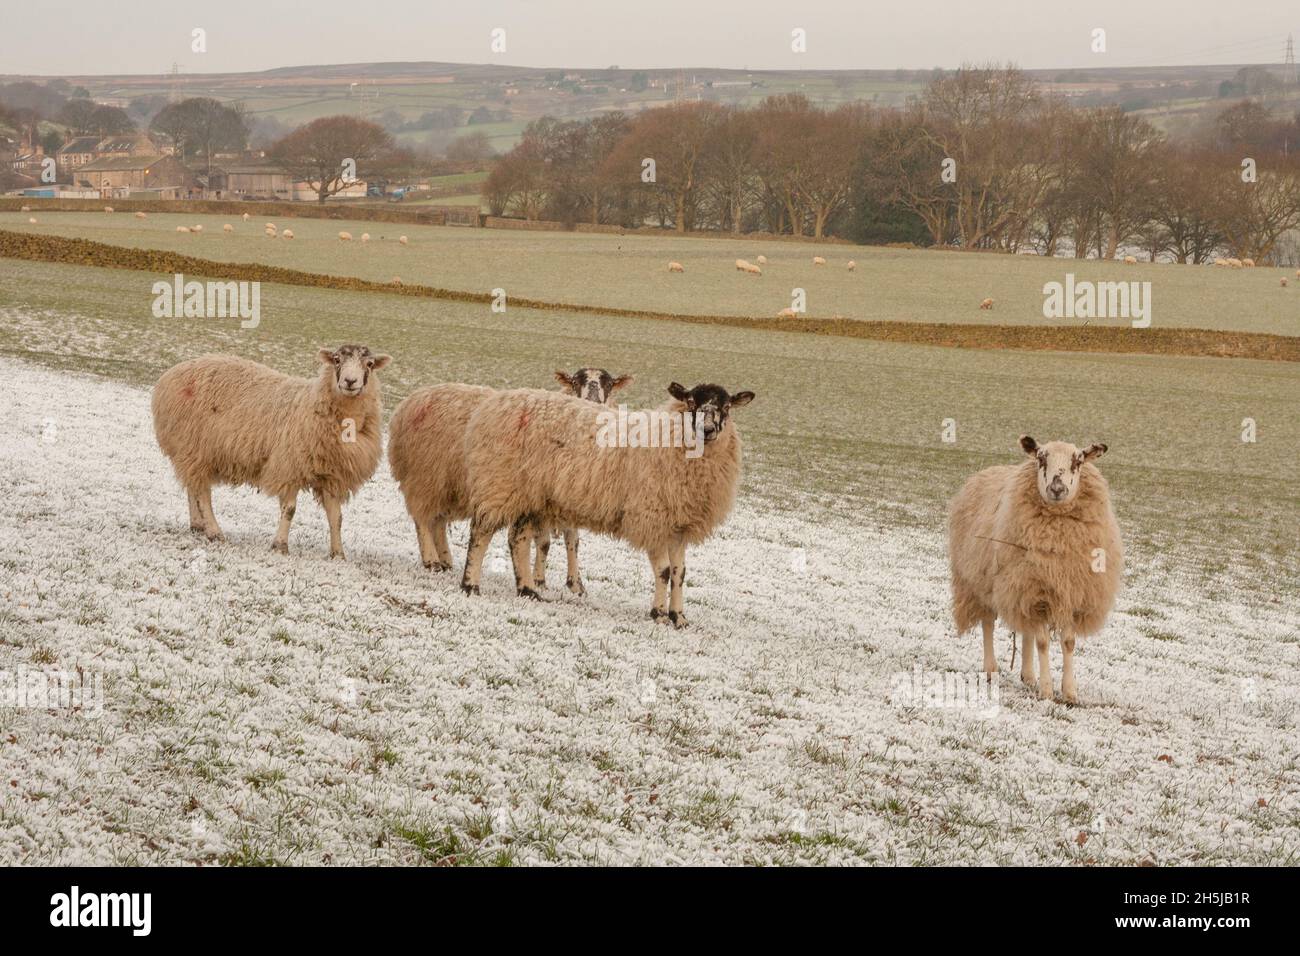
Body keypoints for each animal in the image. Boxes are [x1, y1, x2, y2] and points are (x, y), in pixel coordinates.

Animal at [150, 345, 390, 561]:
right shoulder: (289, 467)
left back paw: (198, 525)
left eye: (369, 364)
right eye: (337, 360)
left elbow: (336, 518)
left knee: (193, 486)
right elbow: (290, 510)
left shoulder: (332, 475)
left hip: (192, 452)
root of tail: (170, 375)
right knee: (202, 494)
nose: (350, 381)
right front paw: (280, 546)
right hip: (195, 446)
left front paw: (338, 554)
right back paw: (214, 532)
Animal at [382, 369, 631, 595]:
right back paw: (432, 561)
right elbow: (544, 542)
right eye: (575, 382)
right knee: (423, 520)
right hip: (425, 476)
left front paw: (575, 585)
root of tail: (411, 399)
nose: (592, 401)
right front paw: (539, 580)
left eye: (609, 384)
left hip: (448, 485)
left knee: (438, 522)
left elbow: (572, 542)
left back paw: (445, 560)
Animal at [462, 382, 759, 629]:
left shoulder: (678, 525)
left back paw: (527, 590)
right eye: (690, 402)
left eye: (727, 407)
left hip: (529, 496)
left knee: (518, 540)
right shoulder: (652, 518)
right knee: (481, 533)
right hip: (499, 483)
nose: (707, 430)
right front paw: (659, 614)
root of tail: (493, 403)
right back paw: (471, 585)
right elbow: (664, 572)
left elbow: (680, 573)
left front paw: (680, 617)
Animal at [951, 434, 1123, 702]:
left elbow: (1068, 642)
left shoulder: (1069, 592)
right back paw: (991, 670)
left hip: (1022, 587)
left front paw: (1069, 692)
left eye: (1078, 461)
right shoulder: (1037, 591)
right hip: (981, 581)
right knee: (988, 623)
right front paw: (1047, 690)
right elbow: (1043, 642)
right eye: (1041, 459)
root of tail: (986, 471)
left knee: (1027, 630)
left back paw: (1028, 675)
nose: (1057, 489)